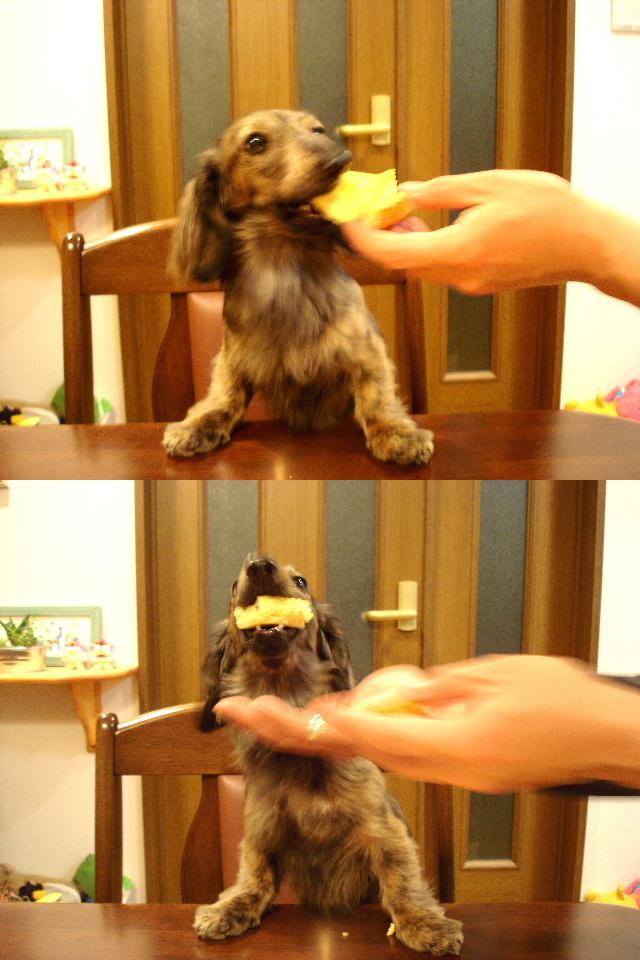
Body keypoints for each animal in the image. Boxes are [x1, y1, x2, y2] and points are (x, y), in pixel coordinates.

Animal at [164, 109, 434, 465]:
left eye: (318, 130)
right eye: (255, 142)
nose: (340, 159)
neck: (287, 274)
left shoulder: (367, 350)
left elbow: (377, 395)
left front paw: (397, 432)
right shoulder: (233, 358)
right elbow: (225, 395)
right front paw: (197, 425)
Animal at [196, 553, 462, 955]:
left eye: (301, 581)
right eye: (233, 585)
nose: (259, 563)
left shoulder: (385, 831)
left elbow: (402, 882)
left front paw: (424, 922)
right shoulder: (262, 832)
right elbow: (254, 879)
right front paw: (229, 909)